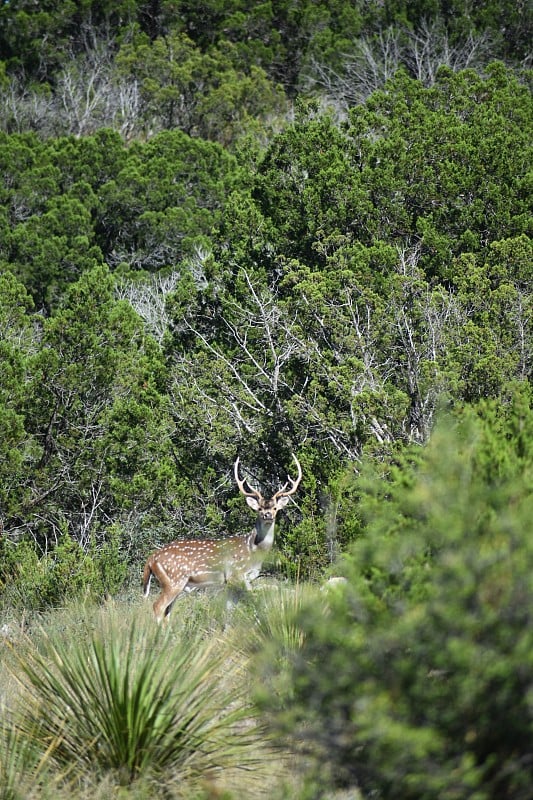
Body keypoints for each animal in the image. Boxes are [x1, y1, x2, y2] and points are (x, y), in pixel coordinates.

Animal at [142, 454, 300, 620]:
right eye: (259, 508)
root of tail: (151, 559)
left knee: (167, 612)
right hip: (174, 580)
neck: (253, 550)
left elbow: (228, 612)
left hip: (176, 583)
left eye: (275, 508)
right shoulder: (235, 575)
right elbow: (253, 604)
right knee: (157, 606)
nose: (268, 515)